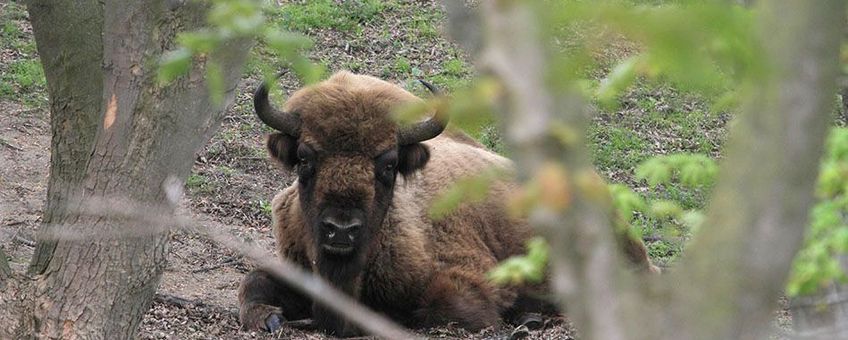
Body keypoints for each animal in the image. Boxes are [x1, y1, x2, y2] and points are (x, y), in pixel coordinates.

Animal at [238, 70, 656, 336]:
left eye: (388, 164)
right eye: (305, 158)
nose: (341, 229)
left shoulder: (470, 277)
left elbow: (440, 311)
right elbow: (253, 283)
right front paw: (272, 319)